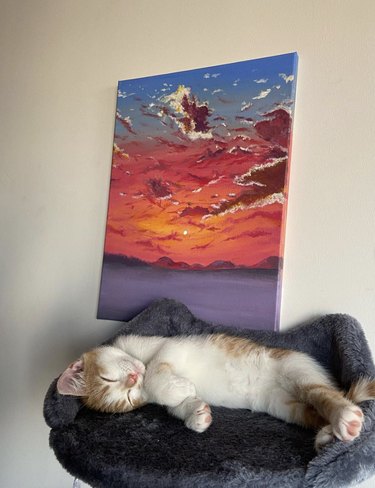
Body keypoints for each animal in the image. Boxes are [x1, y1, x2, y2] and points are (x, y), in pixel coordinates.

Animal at [58, 332, 375, 450]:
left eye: (107, 378)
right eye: (127, 397)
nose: (134, 377)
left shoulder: (165, 345)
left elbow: (158, 371)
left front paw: (175, 384)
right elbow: (174, 404)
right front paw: (195, 413)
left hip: (298, 371)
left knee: (325, 395)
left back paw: (345, 418)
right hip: (283, 405)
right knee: (309, 410)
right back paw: (327, 435)